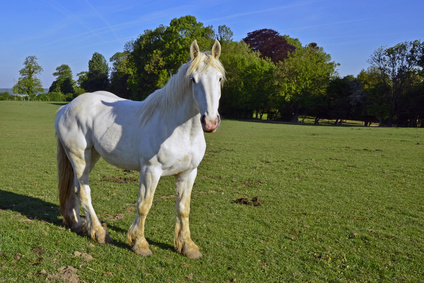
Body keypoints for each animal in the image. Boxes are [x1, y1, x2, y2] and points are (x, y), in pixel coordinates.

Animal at [55, 40, 225, 260]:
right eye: (193, 79)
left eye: (219, 78)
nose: (210, 121)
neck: (179, 129)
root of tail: (65, 108)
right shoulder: (151, 171)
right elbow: (144, 205)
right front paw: (140, 243)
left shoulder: (188, 173)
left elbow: (183, 208)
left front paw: (187, 246)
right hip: (79, 157)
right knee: (84, 191)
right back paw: (100, 233)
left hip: (90, 157)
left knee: (75, 189)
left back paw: (79, 224)